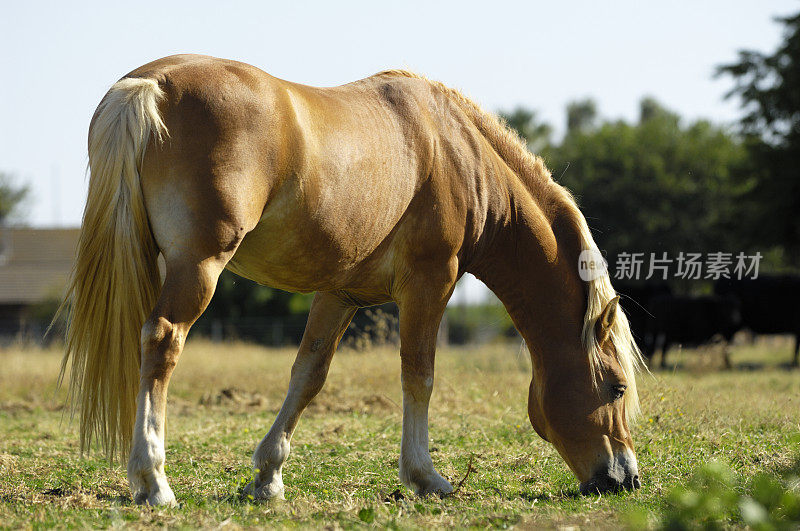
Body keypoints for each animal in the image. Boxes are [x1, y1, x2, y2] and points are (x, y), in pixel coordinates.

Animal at [57, 55, 644, 508]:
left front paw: (268, 477)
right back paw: (153, 481)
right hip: (198, 266)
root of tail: (150, 84)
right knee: (162, 341)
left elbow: (308, 375)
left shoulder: (339, 295)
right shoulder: (430, 283)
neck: (457, 151)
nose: (626, 478)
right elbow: (420, 376)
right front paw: (426, 477)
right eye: (616, 387)